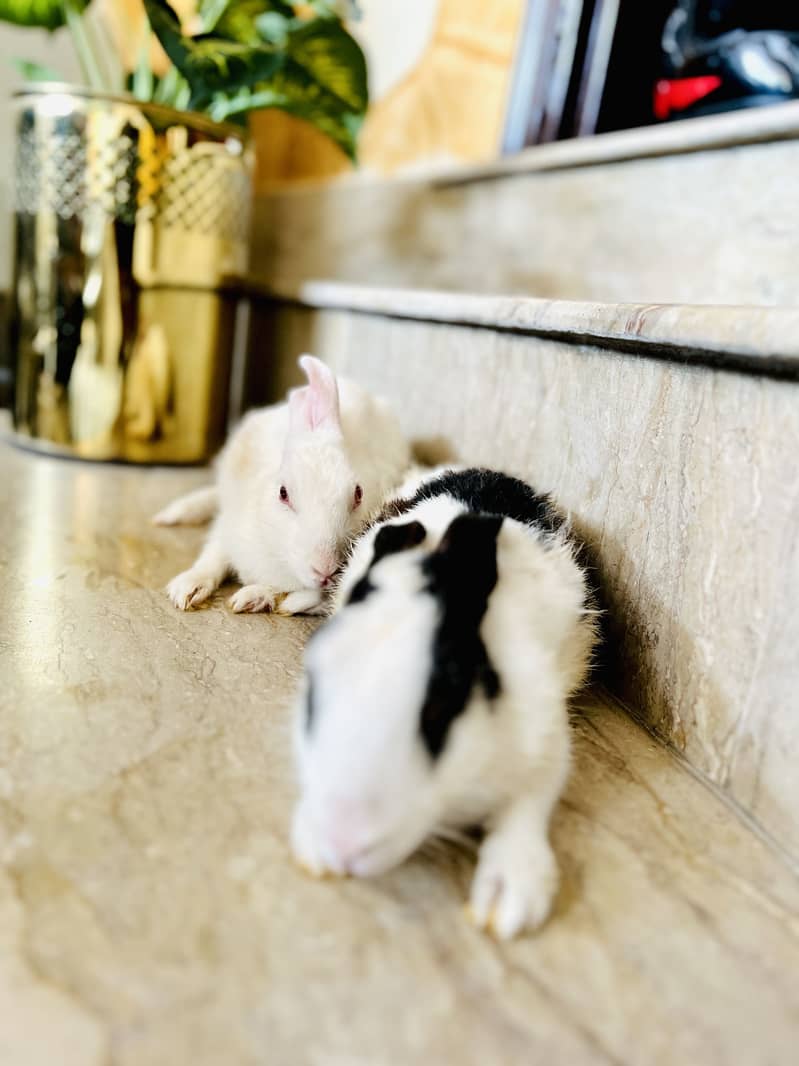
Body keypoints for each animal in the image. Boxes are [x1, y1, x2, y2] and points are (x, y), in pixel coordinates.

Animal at [154, 355, 412, 616]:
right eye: (283, 493)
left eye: (359, 493)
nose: (325, 569)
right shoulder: (229, 525)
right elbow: (213, 556)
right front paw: (187, 589)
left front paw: (250, 598)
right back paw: (172, 514)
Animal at [291, 467, 600, 939]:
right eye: (313, 690)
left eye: (440, 705)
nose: (343, 843)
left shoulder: (544, 743)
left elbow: (529, 804)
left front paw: (509, 898)